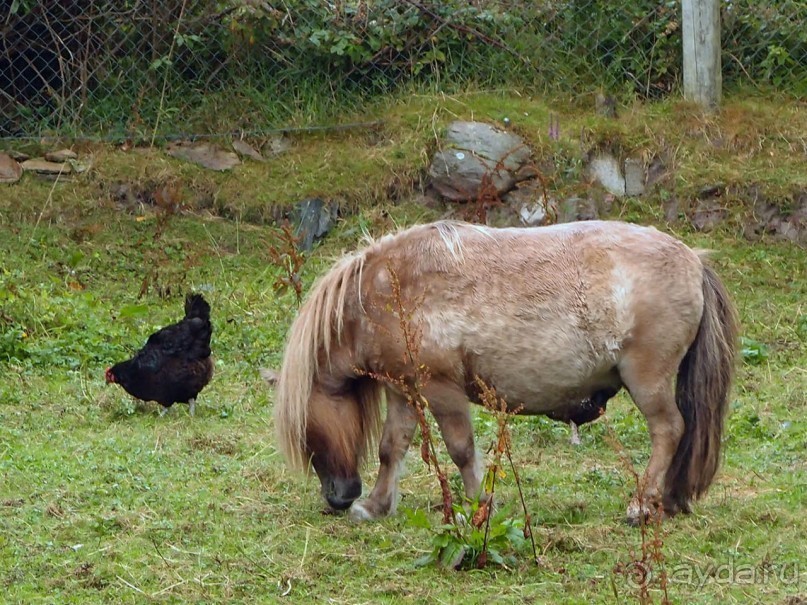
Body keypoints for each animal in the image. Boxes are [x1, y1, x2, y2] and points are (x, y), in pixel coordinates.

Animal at [274, 218, 740, 524]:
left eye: (306, 431)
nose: (337, 497)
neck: (390, 288)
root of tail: (693, 260)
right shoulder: (404, 390)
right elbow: (393, 448)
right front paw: (375, 506)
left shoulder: (440, 389)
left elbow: (461, 450)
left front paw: (479, 507)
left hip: (648, 382)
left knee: (669, 431)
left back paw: (642, 504)